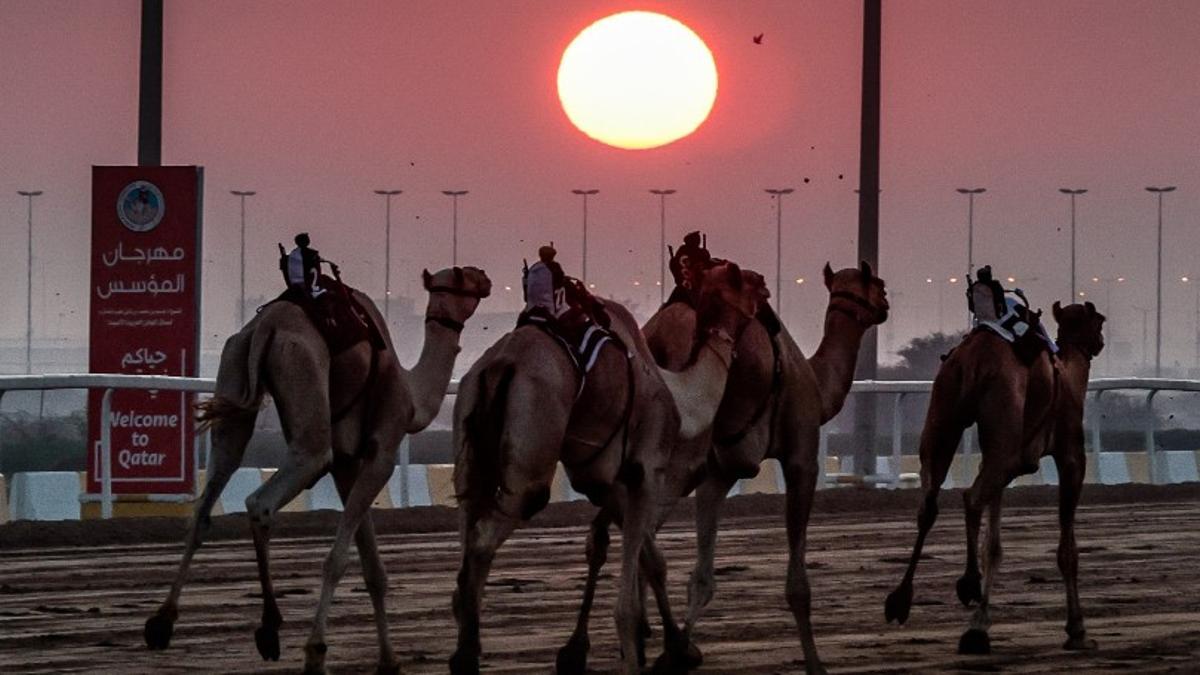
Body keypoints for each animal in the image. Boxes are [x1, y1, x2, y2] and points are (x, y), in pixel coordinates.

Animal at [144, 265, 492, 667]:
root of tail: (267, 326)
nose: (485, 278)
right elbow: (338, 559)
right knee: (265, 498)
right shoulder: (382, 453)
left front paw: (389, 662)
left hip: (233, 374)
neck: (412, 396)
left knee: (206, 502)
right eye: (464, 277)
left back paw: (161, 623)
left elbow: (373, 568)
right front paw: (317, 650)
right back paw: (269, 628)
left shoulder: (347, 465)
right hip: (304, 370)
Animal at [451, 263, 758, 672]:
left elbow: (651, 559)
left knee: (467, 526)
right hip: (533, 437)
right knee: (490, 532)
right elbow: (628, 598)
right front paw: (646, 652)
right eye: (742, 280)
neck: (678, 396)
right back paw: (467, 655)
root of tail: (500, 365)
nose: (764, 286)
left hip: (469, 440)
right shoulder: (646, 471)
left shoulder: (605, 481)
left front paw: (675, 648)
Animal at [556, 258, 888, 672]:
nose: (885, 305)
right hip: (676, 455)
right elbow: (795, 584)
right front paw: (815, 664)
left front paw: (662, 643)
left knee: (608, 534)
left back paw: (592, 646)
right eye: (877, 284)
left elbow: (699, 576)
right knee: (640, 535)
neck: (813, 380)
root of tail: (657, 336)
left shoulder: (720, 473)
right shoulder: (800, 458)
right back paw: (651, 644)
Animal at [883, 297, 1104, 653]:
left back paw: (900, 601)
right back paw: (968, 588)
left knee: (929, 503)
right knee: (970, 497)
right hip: (1001, 413)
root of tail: (973, 359)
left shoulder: (1006, 464)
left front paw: (980, 623)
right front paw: (1077, 630)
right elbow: (1067, 550)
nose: (1099, 342)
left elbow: (994, 544)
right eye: (1100, 320)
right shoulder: (1070, 454)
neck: (1069, 376)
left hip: (945, 411)